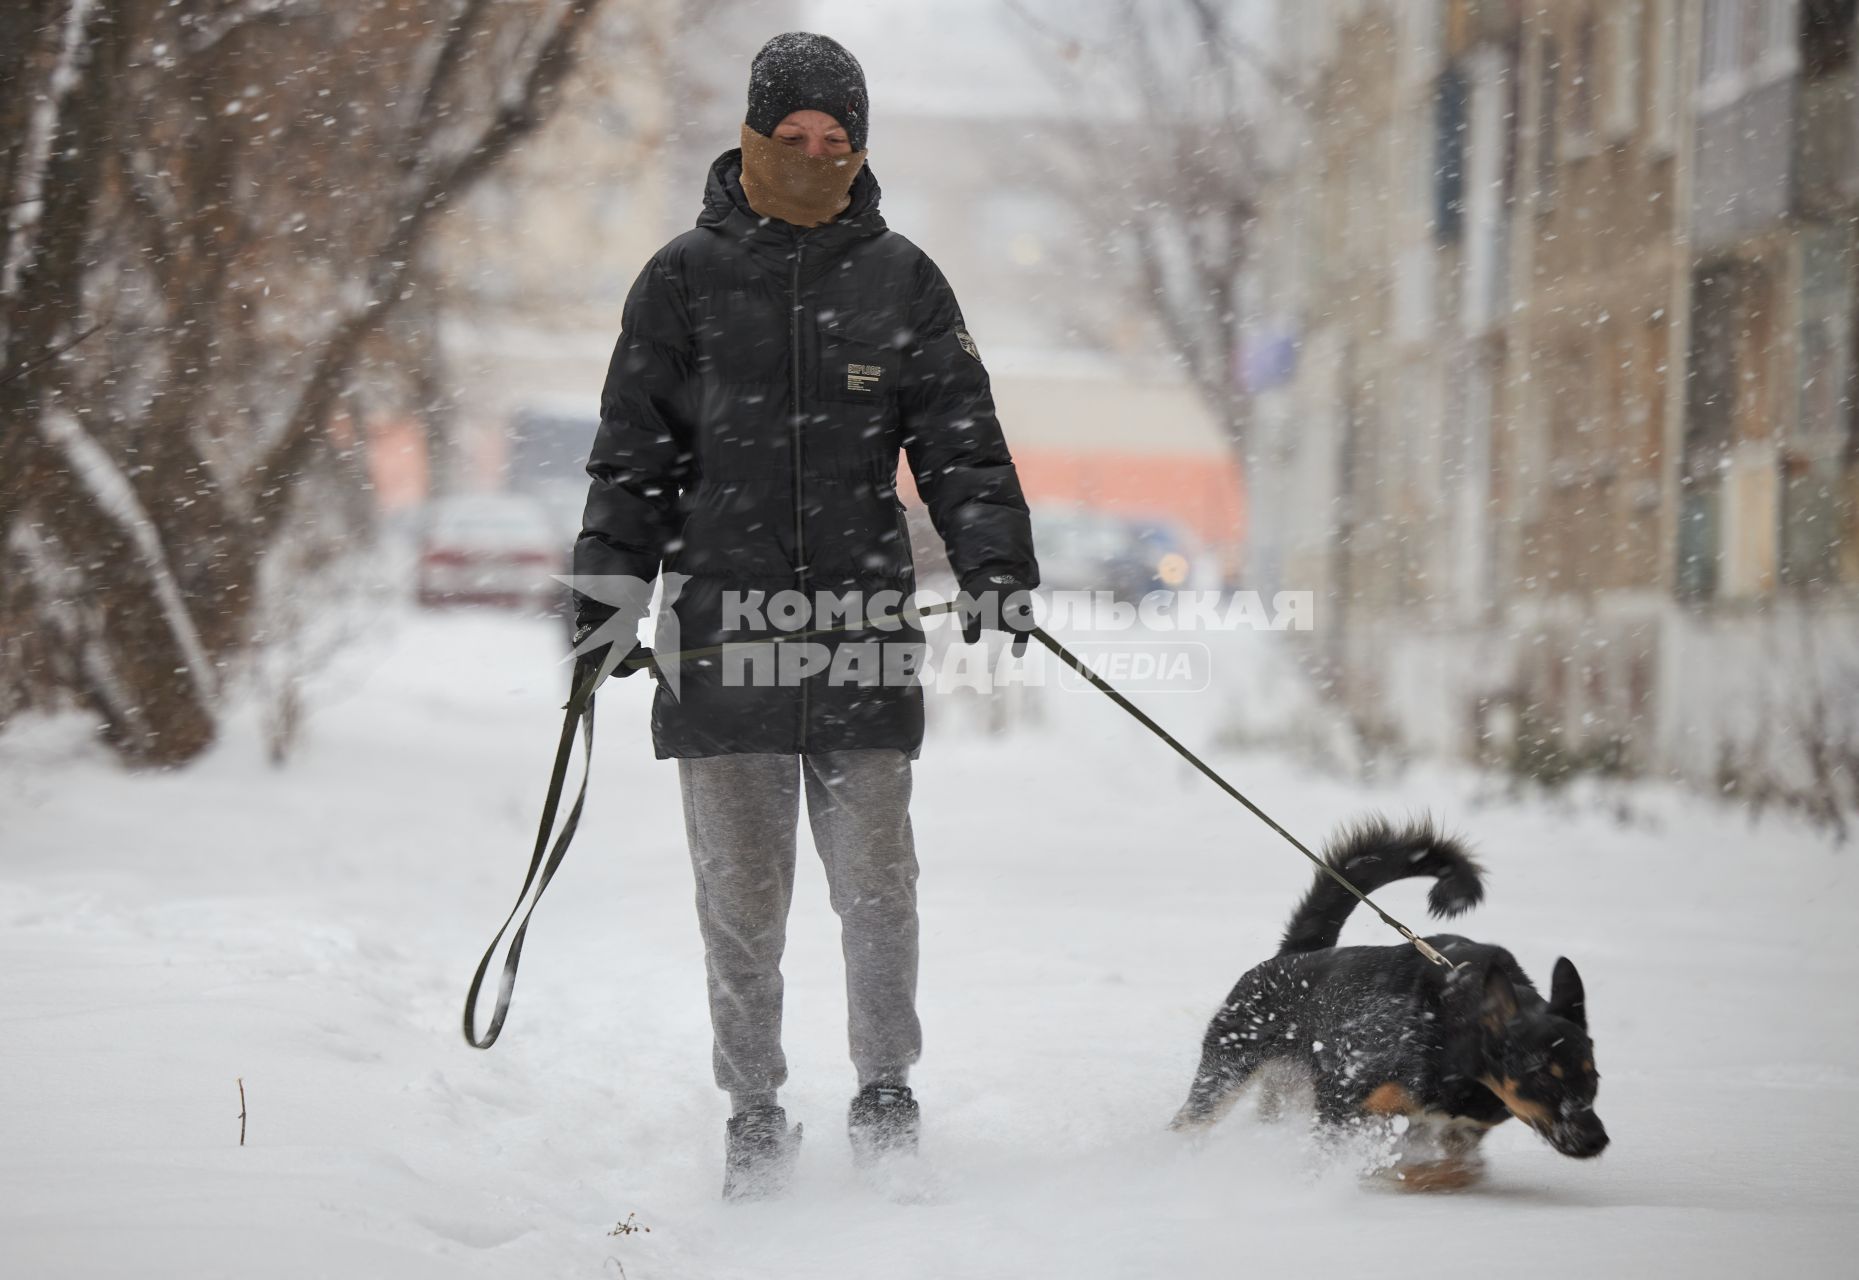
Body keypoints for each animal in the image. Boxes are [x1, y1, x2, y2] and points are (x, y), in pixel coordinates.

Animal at [1167, 813, 1606, 1181]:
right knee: (1189, 1121)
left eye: (1593, 1077)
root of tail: (1293, 956)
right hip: (1224, 1076)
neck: (1455, 1044)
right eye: (1543, 1077)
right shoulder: (1342, 1106)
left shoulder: (1456, 1133)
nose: (1597, 1139)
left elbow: (1450, 1169)